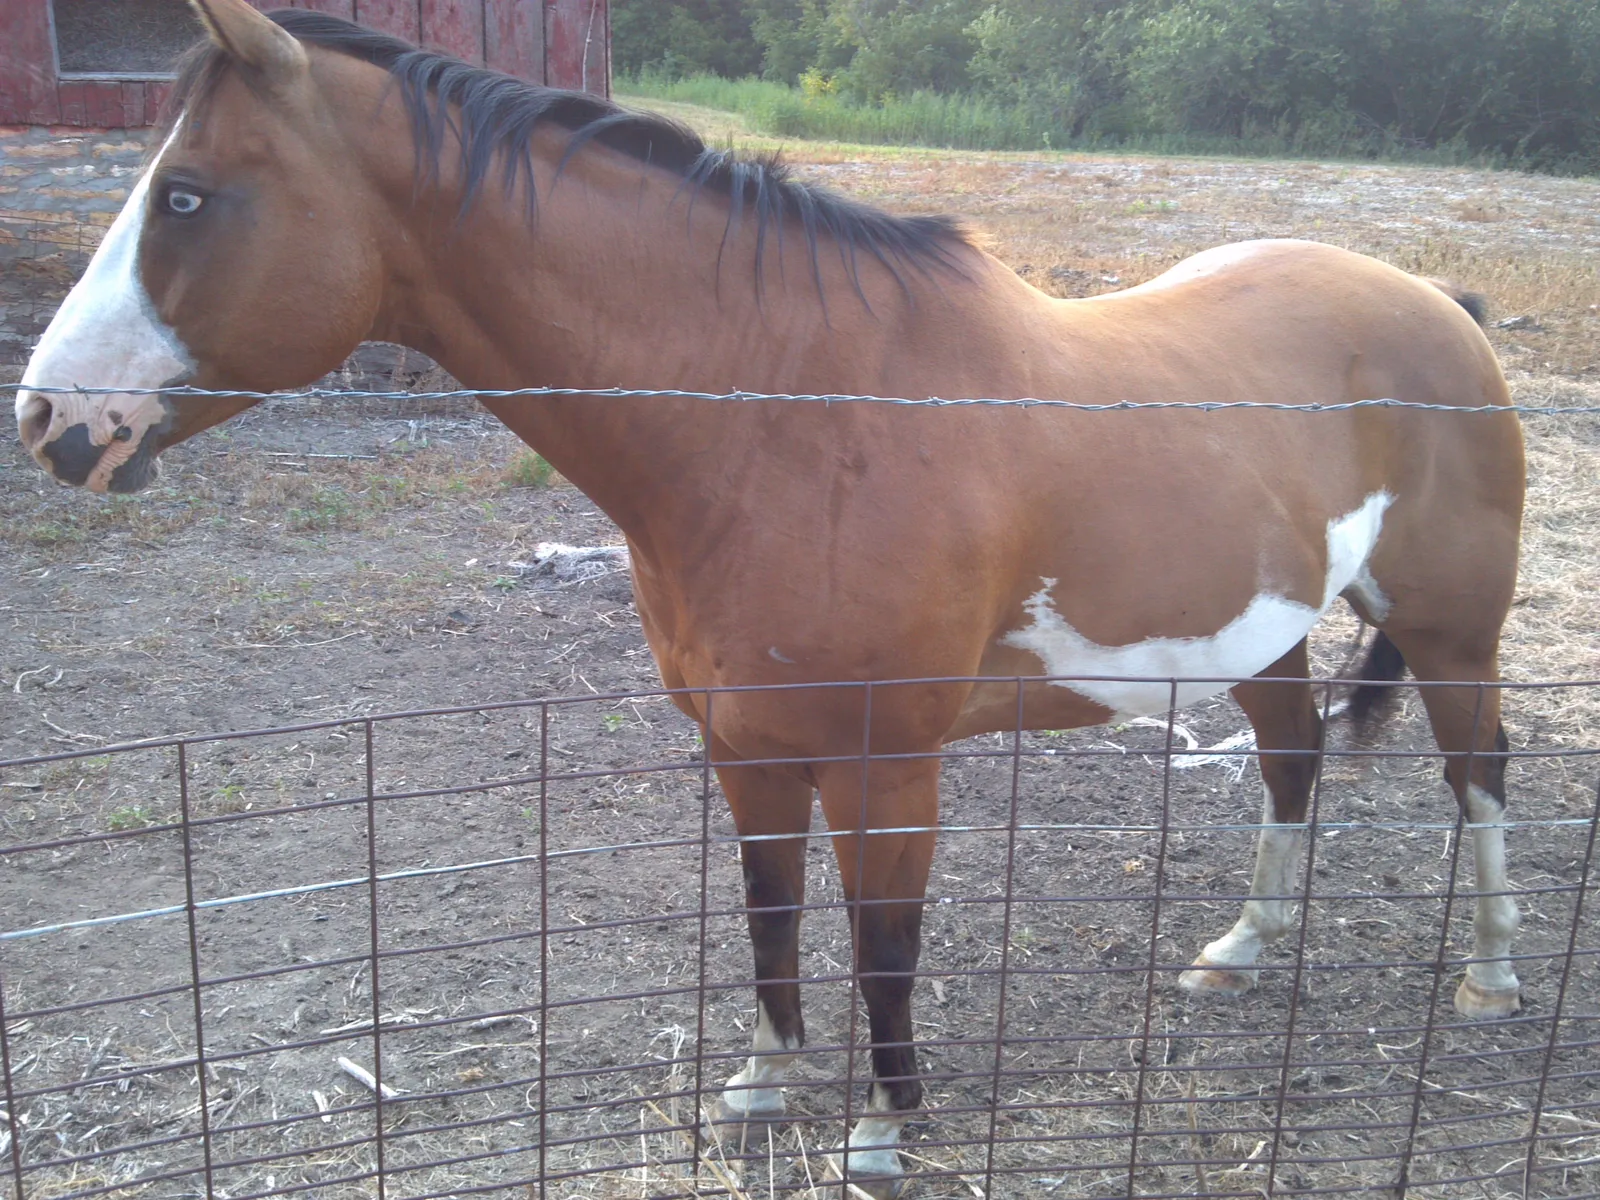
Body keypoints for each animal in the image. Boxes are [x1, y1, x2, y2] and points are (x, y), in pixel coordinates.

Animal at [15, 1, 1526, 1191]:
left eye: (187, 195)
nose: (48, 422)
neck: (792, 418)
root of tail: (1434, 301)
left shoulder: (886, 763)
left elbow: (882, 943)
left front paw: (883, 1130)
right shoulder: (749, 749)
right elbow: (770, 915)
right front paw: (762, 1085)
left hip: (1455, 631)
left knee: (1479, 769)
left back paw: (1496, 974)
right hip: (1261, 635)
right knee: (1291, 761)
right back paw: (1242, 950)